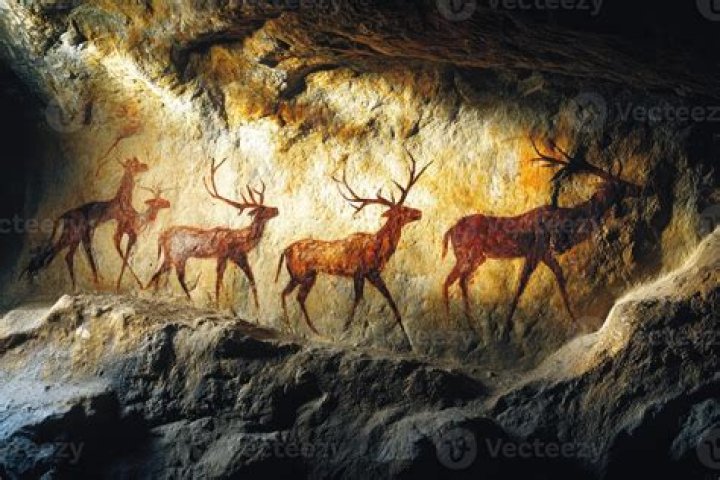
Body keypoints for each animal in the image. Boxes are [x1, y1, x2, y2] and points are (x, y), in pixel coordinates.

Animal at [22, 157, 149, 289]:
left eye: (137, 162)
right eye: (134, 165)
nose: (146, 166)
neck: (123, 199)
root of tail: (64, 216)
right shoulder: (122, 226)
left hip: (74, 237)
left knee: (64, 254)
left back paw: (74, 285)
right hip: (74, 236)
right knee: (57, 252)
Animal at [146, 159, 278, 309]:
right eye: (263, 209)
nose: (276, 209)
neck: (241, 240)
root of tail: (161, 236)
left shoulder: (239, 257)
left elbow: (251, 279)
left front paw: (257, 307)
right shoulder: (224, 254)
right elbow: (219, 280)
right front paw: (217, 305)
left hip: (168, 256)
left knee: (157, 273)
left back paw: (152, 293)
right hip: (178, 255)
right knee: (178, 276)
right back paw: (189, 299)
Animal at [276, 151, 431, 347]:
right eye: (403, 209)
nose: (419, 212)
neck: (379, 249)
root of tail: (284, 251)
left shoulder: (373, 273)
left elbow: (390, 299)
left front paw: (406, 336)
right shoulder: (360, 272)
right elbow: (359, 299)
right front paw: (349, 329)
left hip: (304, 275)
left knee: (292, 295)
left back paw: (307, 330)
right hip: (302, 273)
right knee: (292, 295)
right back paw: (302, 330)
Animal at [442, 138, 642, 331]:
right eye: (622, 185)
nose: (639, 188)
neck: (564, 223)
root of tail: (449, 230)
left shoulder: (545, 254)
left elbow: (559, 278)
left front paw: (574, 319)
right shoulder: (535, 252)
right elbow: (521, 288)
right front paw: (505, 329)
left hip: (476, 257)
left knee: (454, 280)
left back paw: (456, 321)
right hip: (468, 254)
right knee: (457, 280)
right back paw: (465, 325)